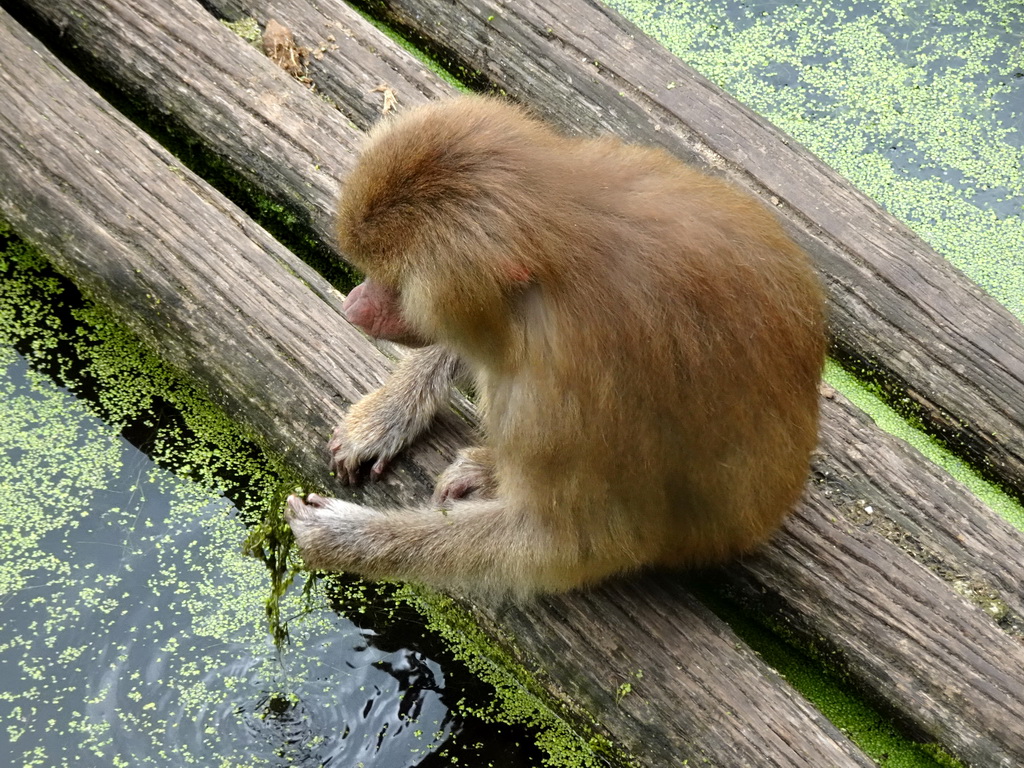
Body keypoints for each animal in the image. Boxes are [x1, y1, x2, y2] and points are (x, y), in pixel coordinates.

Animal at [284, 96, 827, 602]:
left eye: (395, 286)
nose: (354, 306)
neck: (565, 248)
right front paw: (385, 417)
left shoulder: (565, 396)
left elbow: (573, 545)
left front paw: (342, 538)